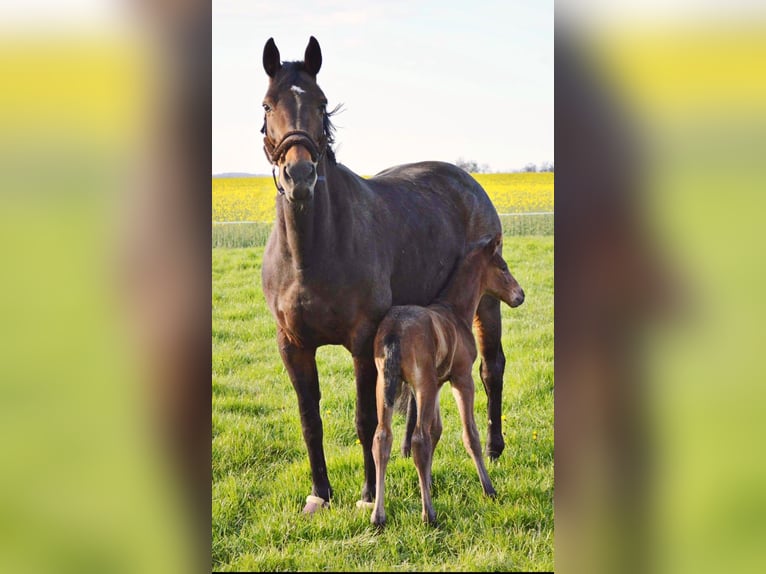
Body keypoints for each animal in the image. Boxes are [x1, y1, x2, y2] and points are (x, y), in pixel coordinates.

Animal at [260, 36, 512, 512]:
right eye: (267, 105)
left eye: (321, 103)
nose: (299, 175)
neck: (310, 252)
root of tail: (467, 180)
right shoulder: (293, 346)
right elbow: (310, 419)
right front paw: (320, 494)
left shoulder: (363, 342)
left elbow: (364, 419)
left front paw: (365, 493)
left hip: (487, 303)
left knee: (492, 369)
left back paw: (493, 447)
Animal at [370, 233, 524, 528]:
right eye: (503, 267)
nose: (520, 295)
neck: (454, 310)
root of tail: (394, 331)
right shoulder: (461, 379)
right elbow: (469, 434)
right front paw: (489, 489)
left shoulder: (438, 383)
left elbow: (437, 430)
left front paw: (428, 482)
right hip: (423, 384)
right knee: (418, 440)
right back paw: (428, 514)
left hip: (384, 384)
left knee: (382, 437)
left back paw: (378, 515)